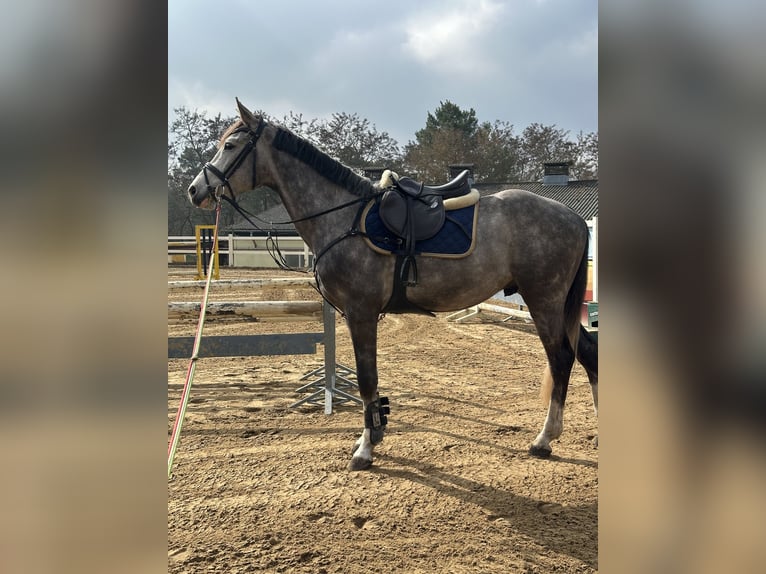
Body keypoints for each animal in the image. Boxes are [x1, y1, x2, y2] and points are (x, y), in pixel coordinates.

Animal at [187, 99, 598, 471]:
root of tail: (574, 218)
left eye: (230, 146)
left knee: (562, 359)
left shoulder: (361, 313)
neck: (344, 217)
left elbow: (367, 380)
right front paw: (372, 435)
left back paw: (544, 439)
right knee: (587, 352)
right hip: (559, 304)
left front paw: (366, 448)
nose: (195, 190)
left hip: (544, 301)